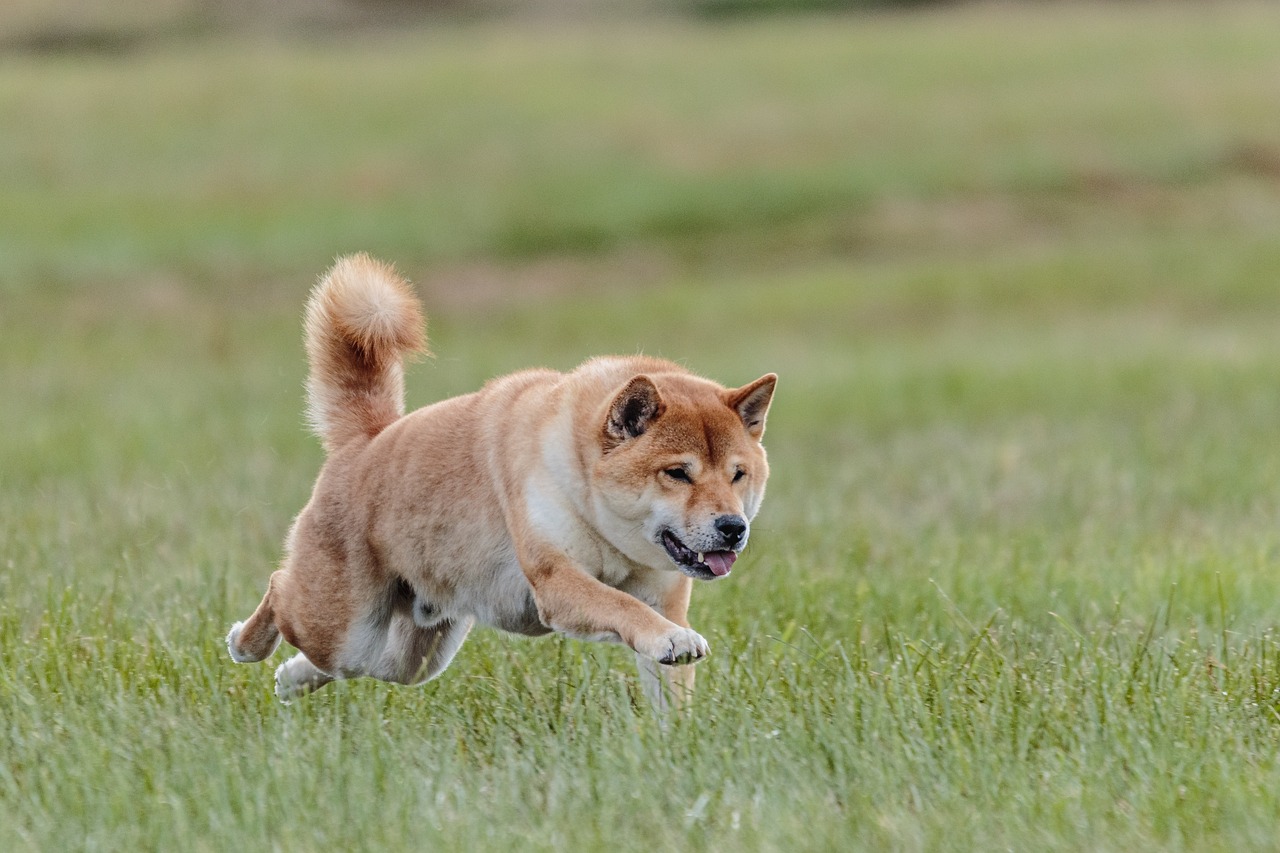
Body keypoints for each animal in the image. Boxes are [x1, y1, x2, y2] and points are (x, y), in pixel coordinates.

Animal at [225, 252, 773, 701]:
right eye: (677, 473)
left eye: (738, 475)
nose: (733, 528)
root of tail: (368, 440)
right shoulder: (556, 579)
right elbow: (622, 606)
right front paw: (669, 639)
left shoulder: (664, 594)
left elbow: (668, 680)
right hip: (345, 623)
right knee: (280, 589)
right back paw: (244, 644)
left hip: (412, 653)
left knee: (349, 665)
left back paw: (289, 680)